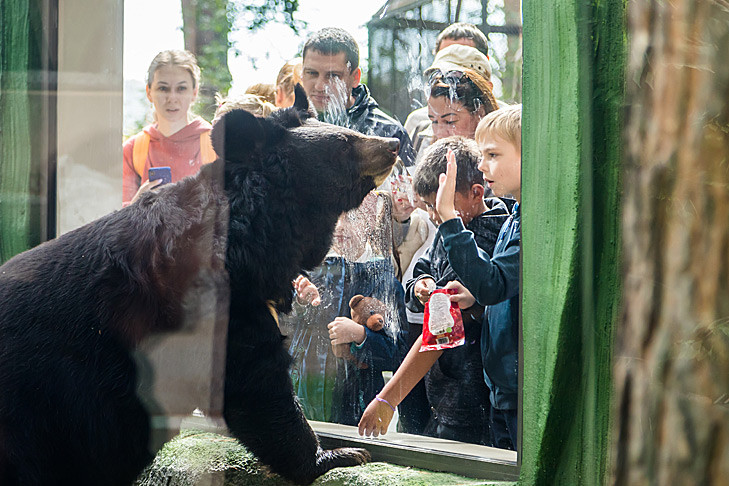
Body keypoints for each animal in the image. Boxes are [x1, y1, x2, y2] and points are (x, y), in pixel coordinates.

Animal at [0, 87, 398, 486]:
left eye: (348, 131)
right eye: (344, 143)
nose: (393, 144)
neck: (250, 237)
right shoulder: (208, 305)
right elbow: (254, 381)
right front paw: (339, 455)